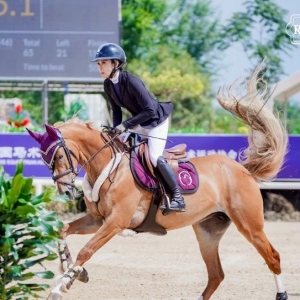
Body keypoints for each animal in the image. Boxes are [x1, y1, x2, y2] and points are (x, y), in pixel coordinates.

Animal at [27, 66, 290, 300]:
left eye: (59, 156)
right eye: (45, 160)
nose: (66, 192)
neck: (109, 167)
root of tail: (242, 170)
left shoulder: (115, 222)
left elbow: (86, 250)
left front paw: (61, 287)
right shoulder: (97, 220)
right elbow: (63, 230)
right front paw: (73, 272)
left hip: (249, 225)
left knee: (273, 257)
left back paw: (282, 294)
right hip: (208, 231)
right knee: (216, 274)